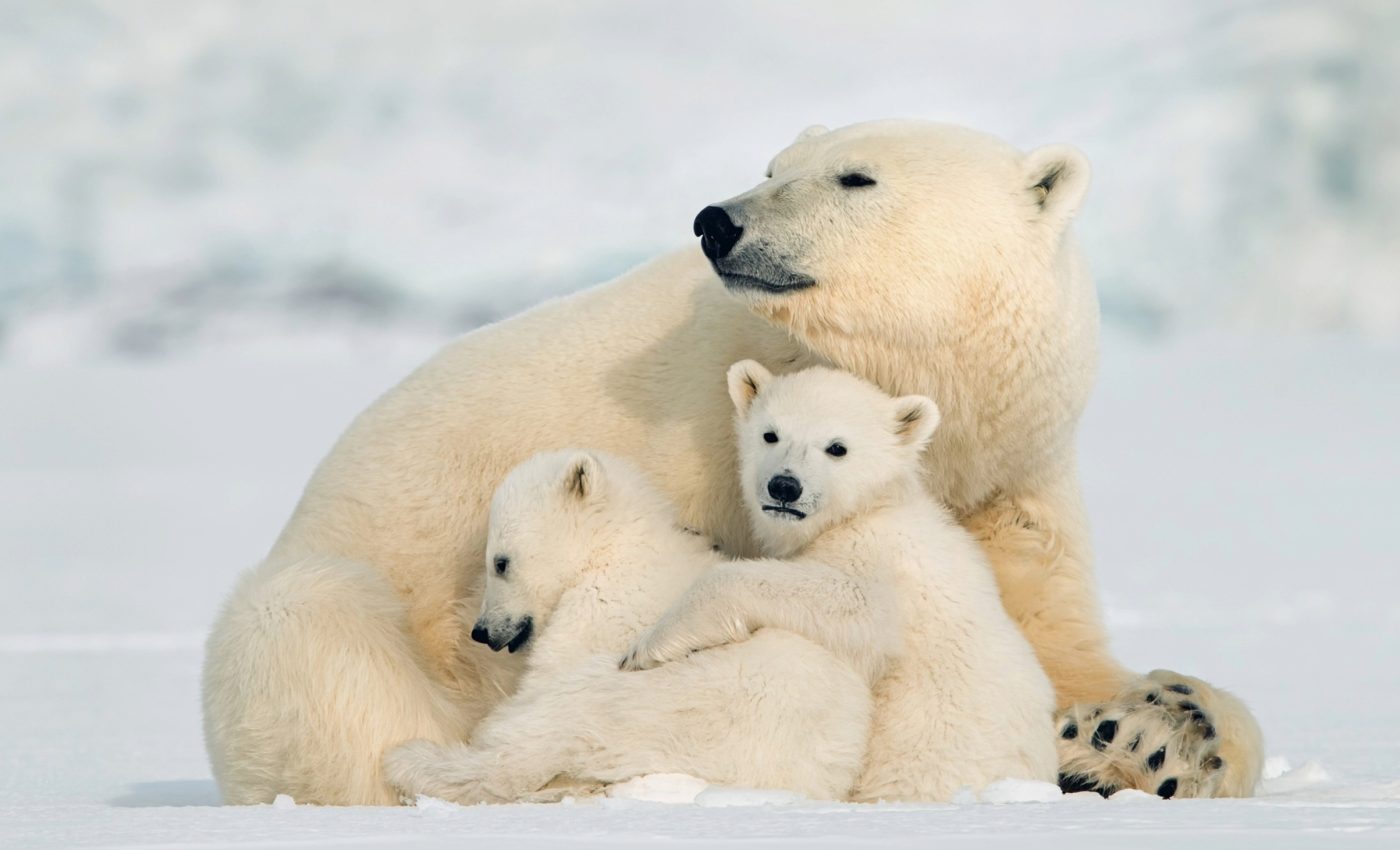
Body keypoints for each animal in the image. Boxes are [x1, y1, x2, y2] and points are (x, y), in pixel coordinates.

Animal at [382, 448, 872, 804]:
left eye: (500, 562)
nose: (481, 632)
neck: (616, 547)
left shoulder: (604, 609)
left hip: (662, 699)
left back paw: (409, 760)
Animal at [620, 361, 1059, 801]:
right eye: (770, 433)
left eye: (837, 447)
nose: (784, 486)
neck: (866, 509)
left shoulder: (879, 561)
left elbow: (855, 605)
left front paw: (646, 647)